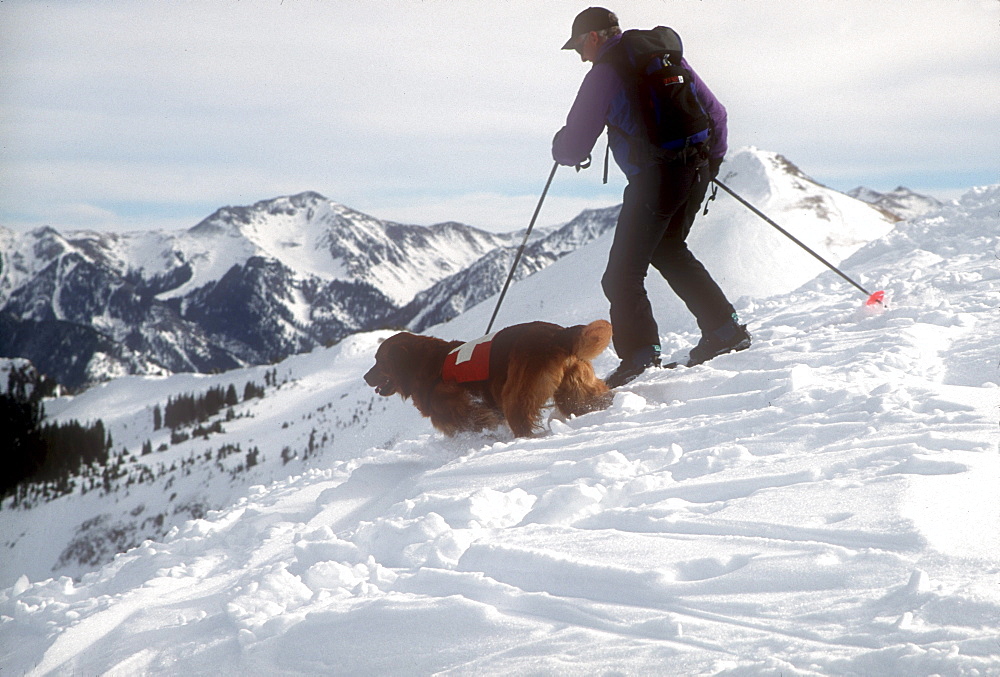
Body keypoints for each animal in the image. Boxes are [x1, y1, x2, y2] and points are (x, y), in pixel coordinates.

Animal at [364, 320, 612, 436]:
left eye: (378, 361)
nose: (365, 377)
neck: (426, 365)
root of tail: (560, 334)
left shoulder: (465, 412)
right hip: (576, 391)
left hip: (515, 395)